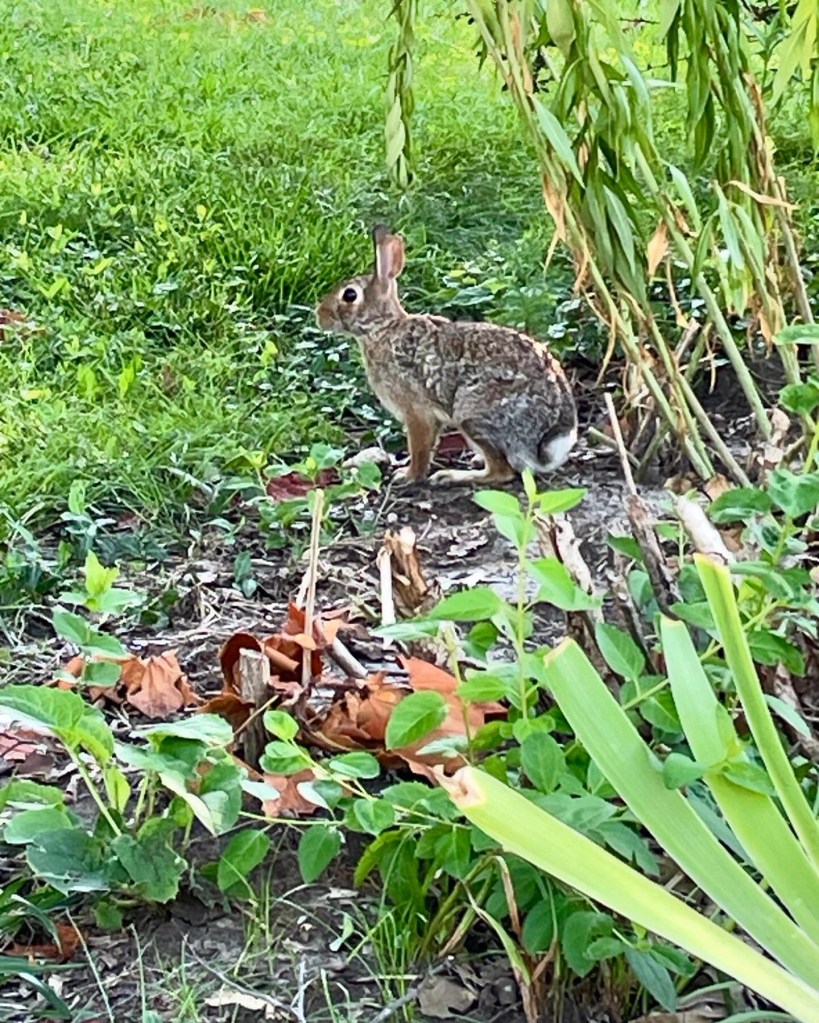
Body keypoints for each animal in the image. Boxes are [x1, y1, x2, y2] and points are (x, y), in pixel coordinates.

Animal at [315, 226, 577, 486]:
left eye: (350, 295)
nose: (320, 315)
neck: (382, 329)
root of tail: (549, 442)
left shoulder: (417, 412)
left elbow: (419, 448)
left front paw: (407, 476)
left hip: (472, 414)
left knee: (502, 471)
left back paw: (450, 476)